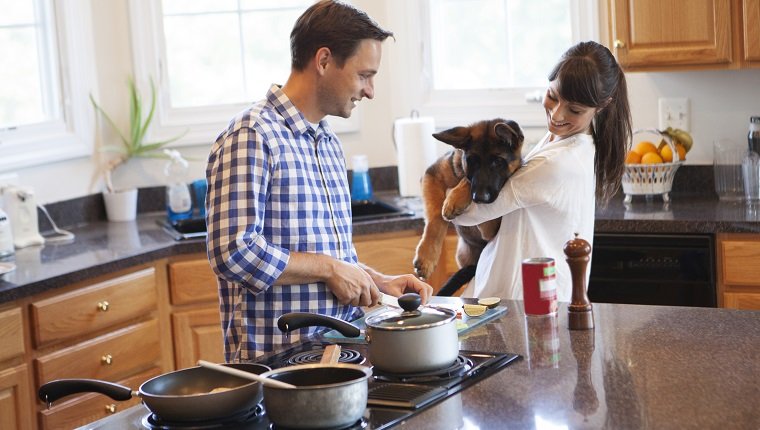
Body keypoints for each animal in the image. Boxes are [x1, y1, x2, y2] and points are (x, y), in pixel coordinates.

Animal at [412, 119, 524, 290]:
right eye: (472, 162)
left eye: (498, 162)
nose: (479, 198)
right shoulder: (432, 175)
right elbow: (435, 219)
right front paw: (427, 257)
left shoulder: (491, 228)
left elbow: (467, 180)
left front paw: (455, 198)